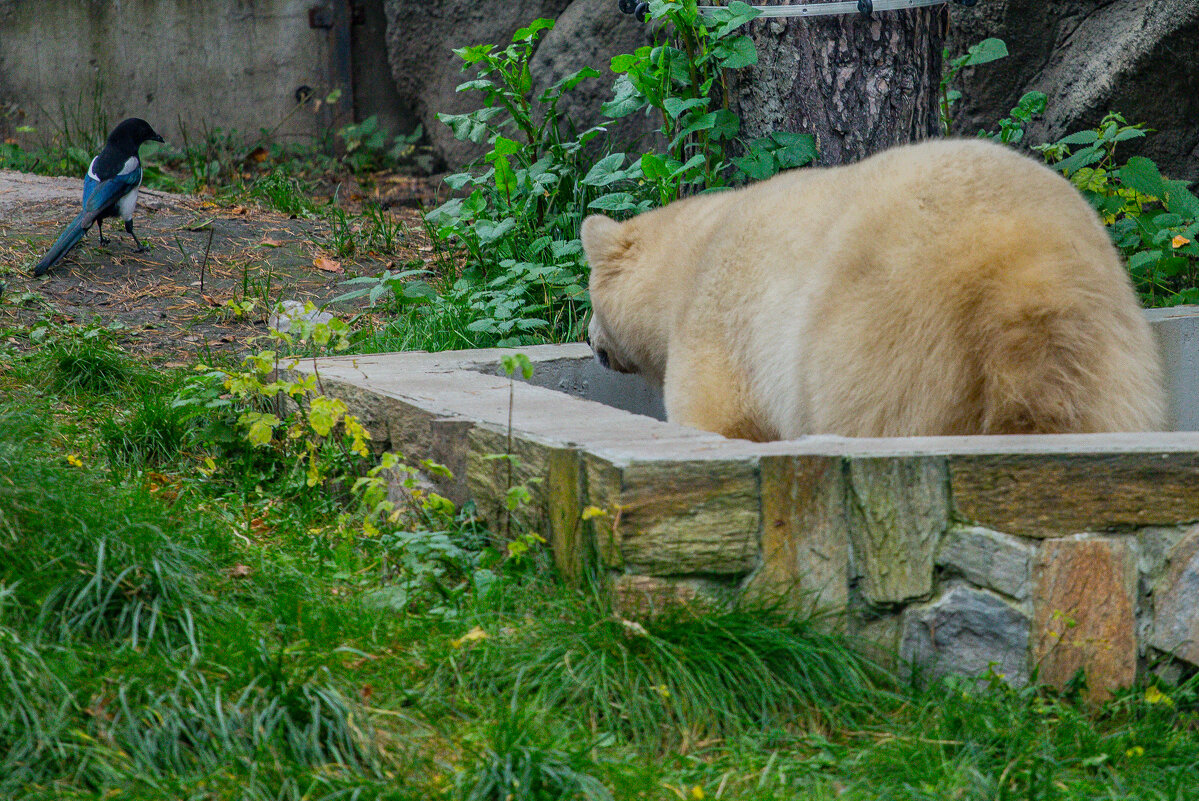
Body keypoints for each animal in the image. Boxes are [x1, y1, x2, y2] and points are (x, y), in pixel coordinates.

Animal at [585, 137, 1165, 438]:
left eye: (591, 303)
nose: (591, 343)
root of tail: (1021, 277)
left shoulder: (721, 315)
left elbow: (717, 415)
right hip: (1110, 352)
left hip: (880, 339)